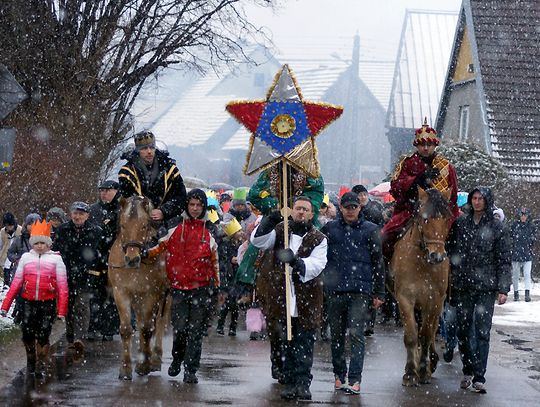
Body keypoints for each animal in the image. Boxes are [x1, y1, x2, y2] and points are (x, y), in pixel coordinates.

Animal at [107, 196, 169, 380]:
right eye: (122, 225)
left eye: (144, 225)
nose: (132, 259)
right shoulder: (121, 292)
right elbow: (127, 329)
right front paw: (126, 369)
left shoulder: (151, 294)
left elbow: (148, 328)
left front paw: (144, 365)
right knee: (142, 322)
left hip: (164, 295)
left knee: (159, 322)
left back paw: (155, 358)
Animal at [390, 186, 454, 388]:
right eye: (425, 219)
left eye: (446, 219)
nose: (437, 256)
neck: (422, 262)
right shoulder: (405, 298)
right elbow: (411, 335)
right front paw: (411, 373)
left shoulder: (434, 300)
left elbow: (426, 334)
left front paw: (424, 370)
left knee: (432, 329)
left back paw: (431, 361)